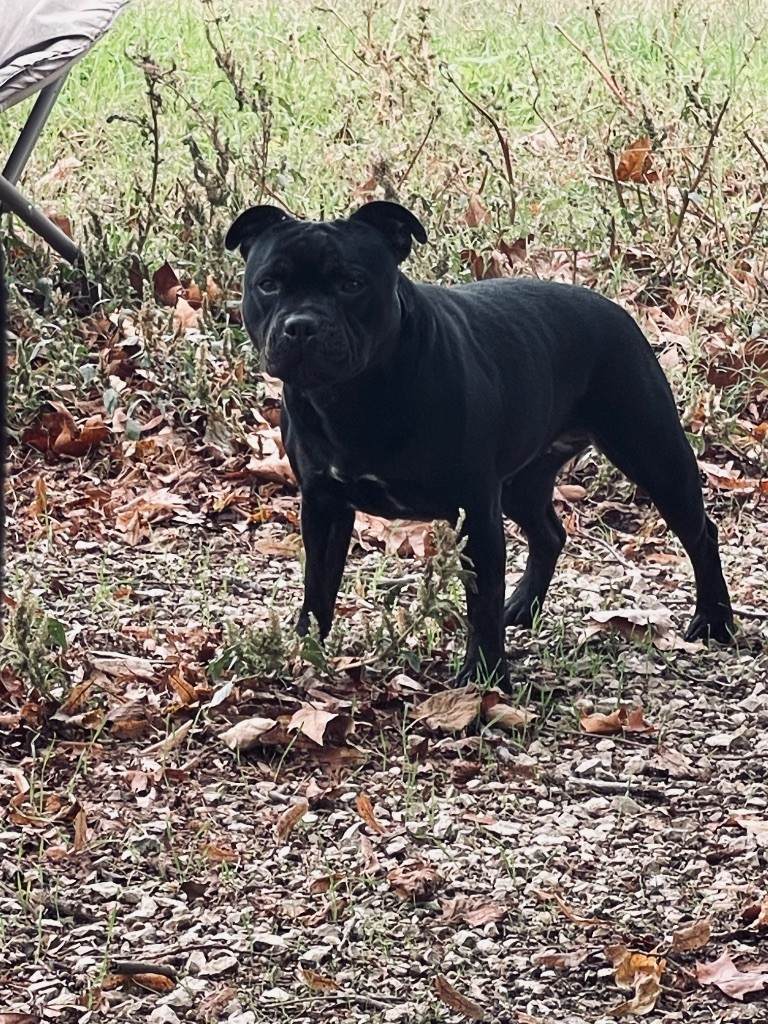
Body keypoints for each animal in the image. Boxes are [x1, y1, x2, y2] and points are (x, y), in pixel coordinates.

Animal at [225, 199, 737, 688]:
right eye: (268, 284)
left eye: (352, 283)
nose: (301, 324)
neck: (352, 394)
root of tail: (614, 309)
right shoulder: (323, 504)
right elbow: (318, 584)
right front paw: (305, 649)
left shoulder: (476, 511)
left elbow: (481, 603)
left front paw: (485, 676)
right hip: (520, 486)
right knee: (549, 534)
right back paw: (523, 607)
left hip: (654, 454)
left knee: (700, 533)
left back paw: (714, 620)